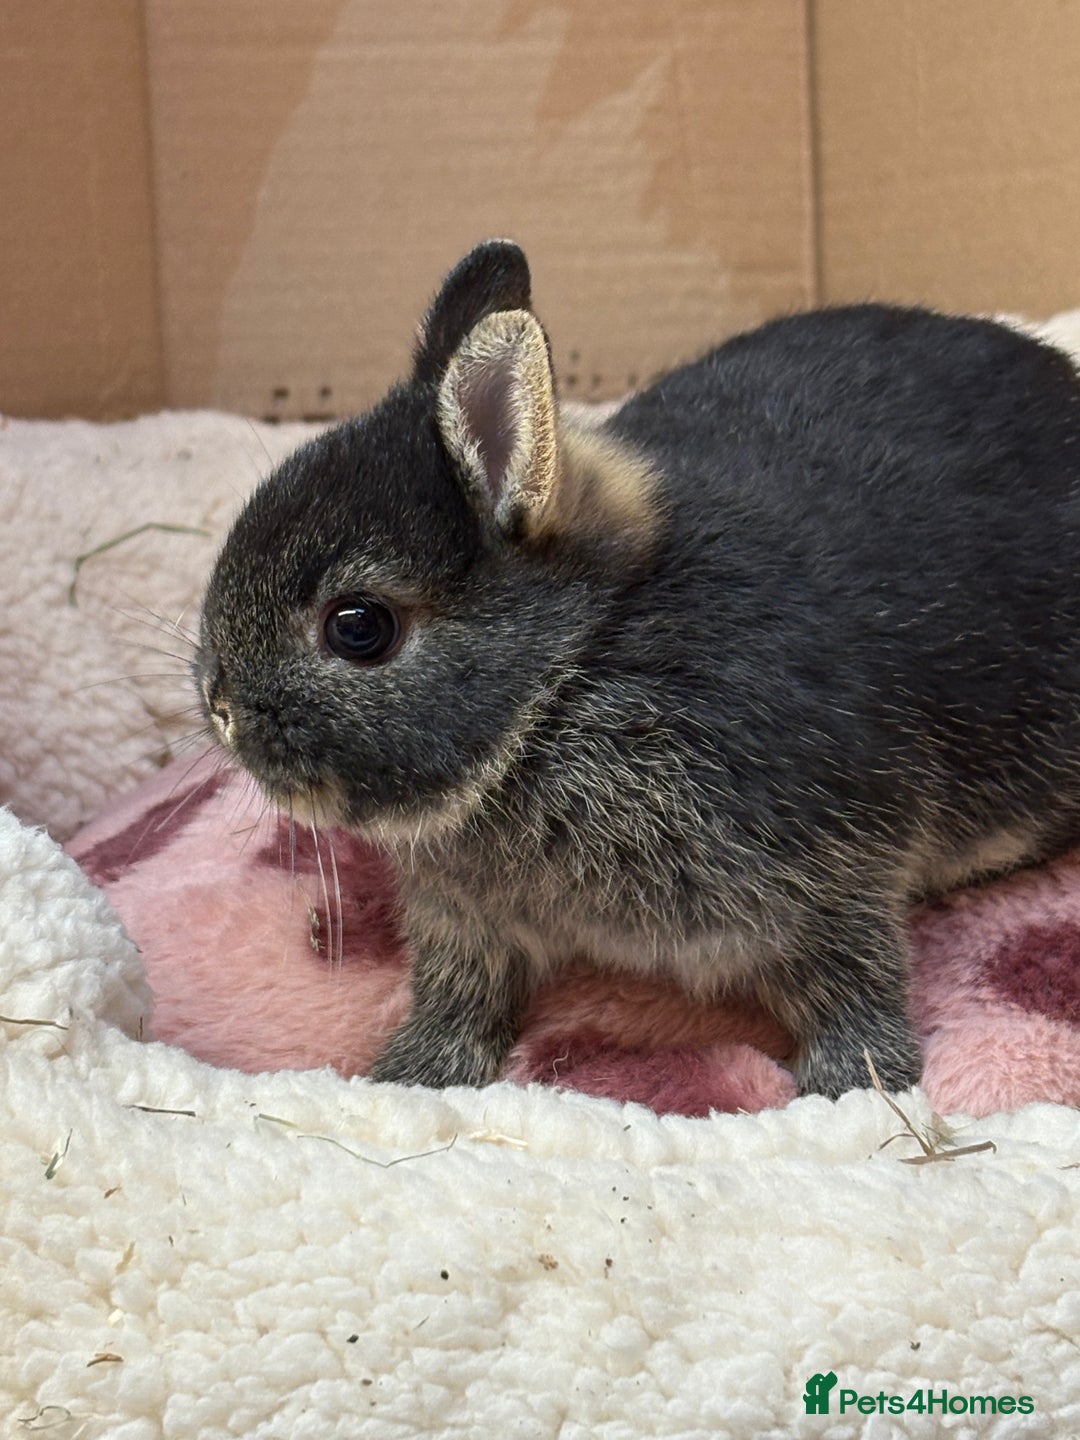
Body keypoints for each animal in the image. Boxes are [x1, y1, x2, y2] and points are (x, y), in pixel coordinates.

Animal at [196, 238, 1080, 1099]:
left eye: (359, 627)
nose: (219, 706)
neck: (567, 680)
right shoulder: (466, 924)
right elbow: (459, 992)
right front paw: (413, 1075)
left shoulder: (835, 877)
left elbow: (857, 982)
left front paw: (857, 1088)